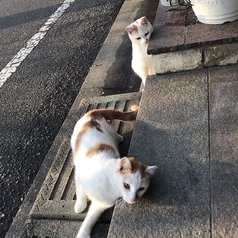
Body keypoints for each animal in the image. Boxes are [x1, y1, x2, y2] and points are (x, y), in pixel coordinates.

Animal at [70, 108, 158, 238]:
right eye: (126, 185)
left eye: (141, 189)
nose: (133, 199)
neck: (109, 184)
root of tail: (94, 113)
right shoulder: (79, 175)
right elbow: (80, 192)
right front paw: (80, 205)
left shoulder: (101, 204)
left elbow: (90, 219)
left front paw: (83, 233)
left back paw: (119, 137)